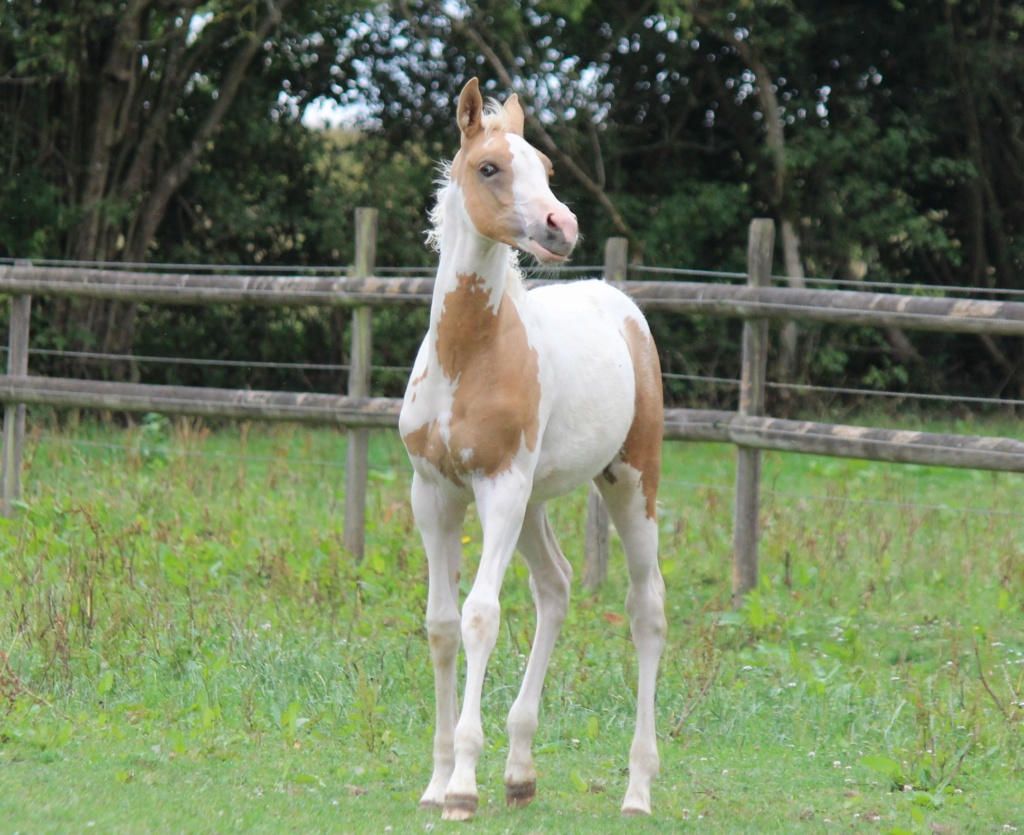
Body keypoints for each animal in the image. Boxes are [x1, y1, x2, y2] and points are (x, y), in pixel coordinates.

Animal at [395, 78, 667, 823]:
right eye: (490, 167)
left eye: (544, 166)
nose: (561, 226)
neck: (469, 355)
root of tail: (619, 303)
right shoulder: (434, 493)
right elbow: (440, 623)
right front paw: (436, 782)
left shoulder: (501, 487)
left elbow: (481, 614)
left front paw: (463, 785)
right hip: (536, 503)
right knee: (557, 585)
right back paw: (520, 771)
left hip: (630, 481)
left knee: (647, 609)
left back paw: (637, 789)